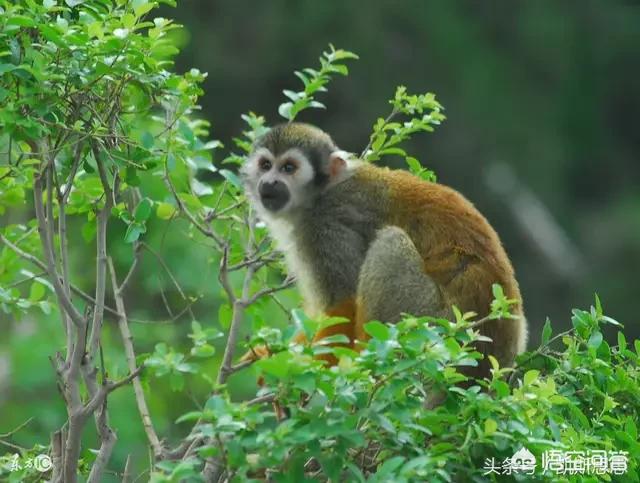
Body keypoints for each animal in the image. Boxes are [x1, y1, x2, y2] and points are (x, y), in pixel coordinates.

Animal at [240, 123, 524, 380]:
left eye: (289, 168)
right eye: (266, 165)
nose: (270, 182)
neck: (321, 194)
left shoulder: (326, 227)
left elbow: (343, 304)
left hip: (434, 327)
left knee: (389, 245)